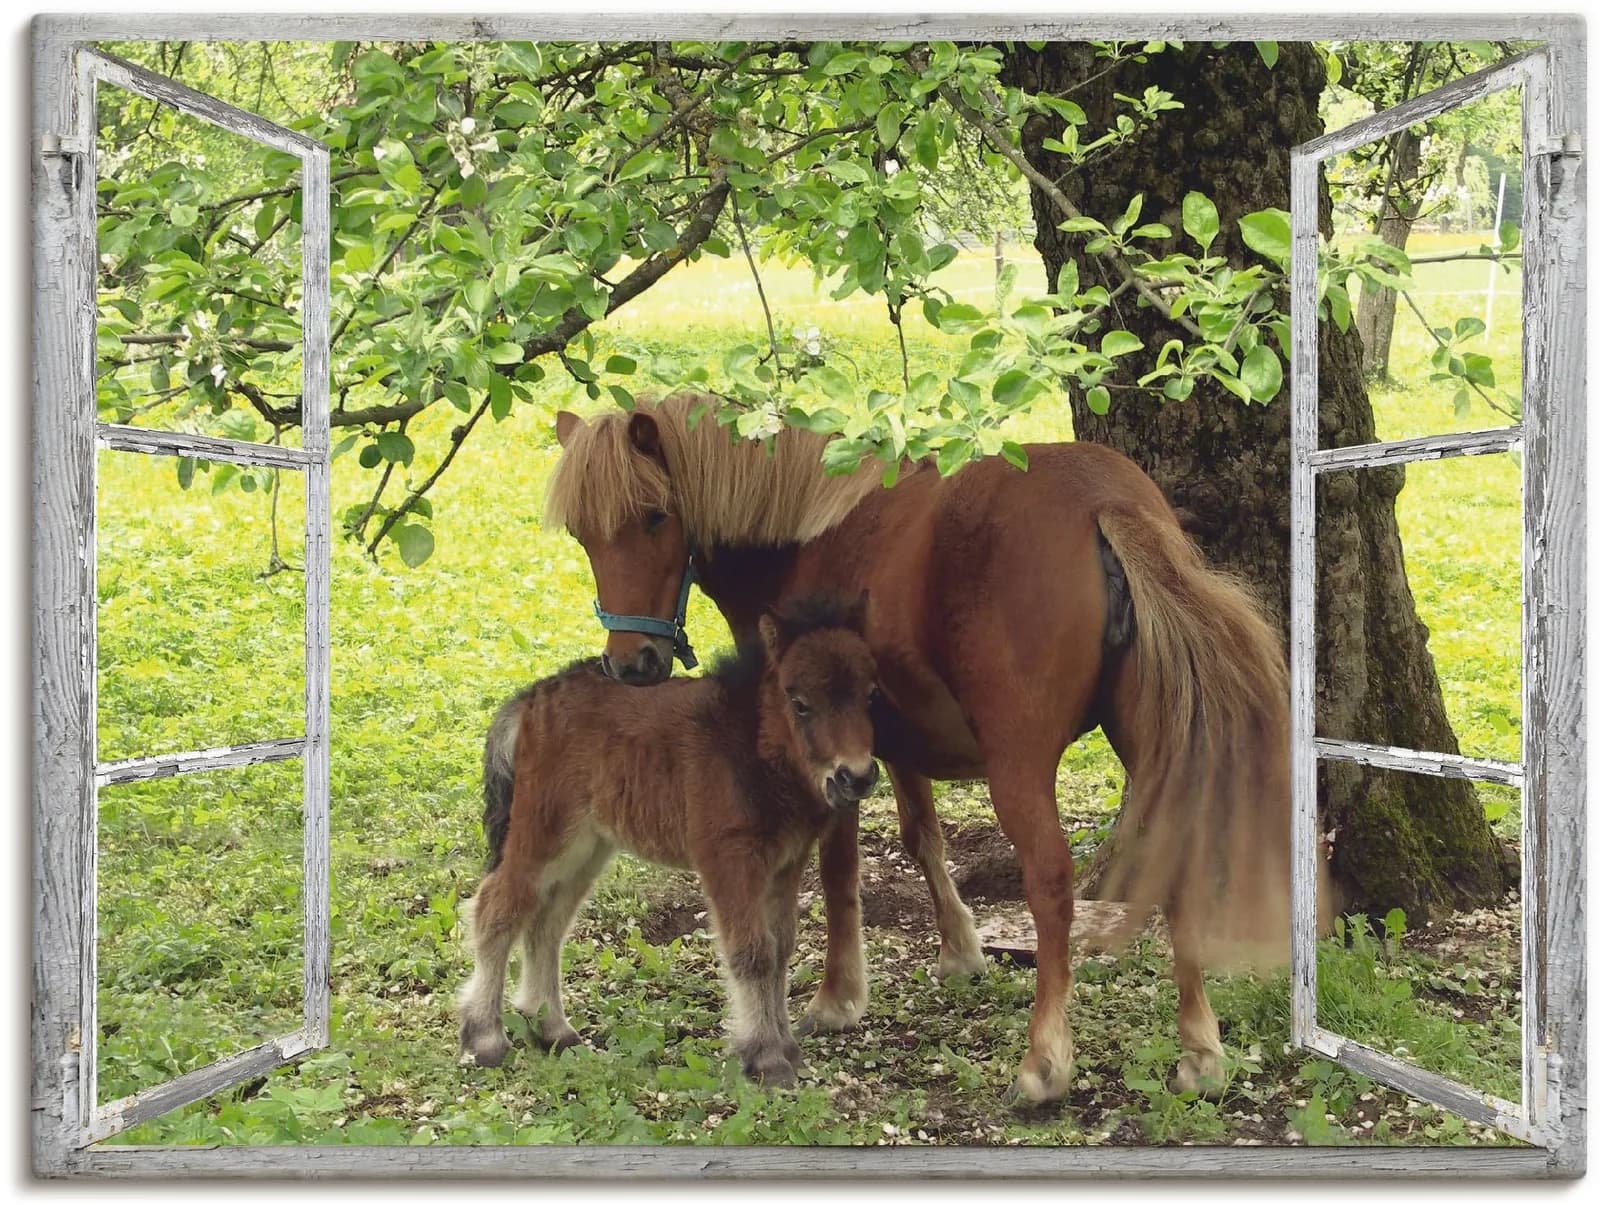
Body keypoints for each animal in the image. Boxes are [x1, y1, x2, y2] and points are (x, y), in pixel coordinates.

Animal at [457, 592, 881, 1087]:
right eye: (800, 704)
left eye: (870, 696)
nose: (855, 777)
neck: (749, 743)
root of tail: (531, 698)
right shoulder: (728, 859)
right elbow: (753, 952)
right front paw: (765, 1058)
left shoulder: (785, 864)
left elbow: (780, 950)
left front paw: (787, 1050)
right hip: (543, 833)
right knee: (497, 909)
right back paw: (485, 1038)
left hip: (587, 847)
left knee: (547, 922)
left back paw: (553, 1030)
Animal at [544, 392, 1296, 1104]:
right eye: (582, 534)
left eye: (654, 516)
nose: (631, 663)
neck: (805, 534)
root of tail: (1103, 501)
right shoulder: (896, 745)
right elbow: (921, 837)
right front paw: (961, 950)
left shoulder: (830, 760)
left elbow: (840, 870)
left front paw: (838, 996)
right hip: (1152, 739)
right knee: (1177, 856)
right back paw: (1200, 1052)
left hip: (1019, 764)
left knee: (1049, 883)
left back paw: (1044, 1062)